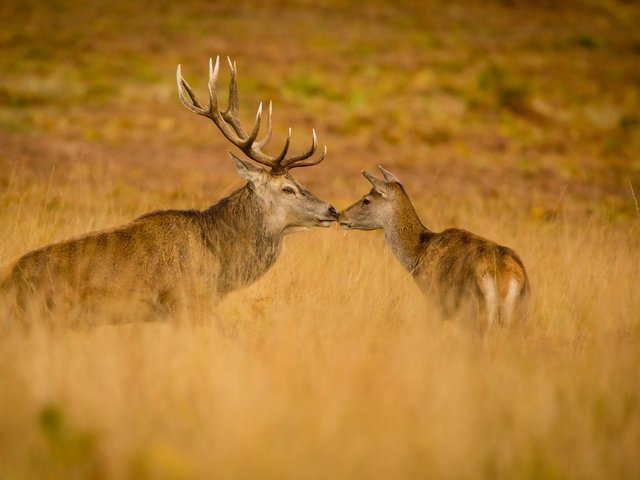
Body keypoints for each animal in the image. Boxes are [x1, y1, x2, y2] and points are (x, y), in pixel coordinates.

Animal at [340, 167, 528, 332]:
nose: (340, 215)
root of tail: (506, 278)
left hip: (475, 312)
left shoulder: (433, 303)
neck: (418, 255)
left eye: (366, 200)